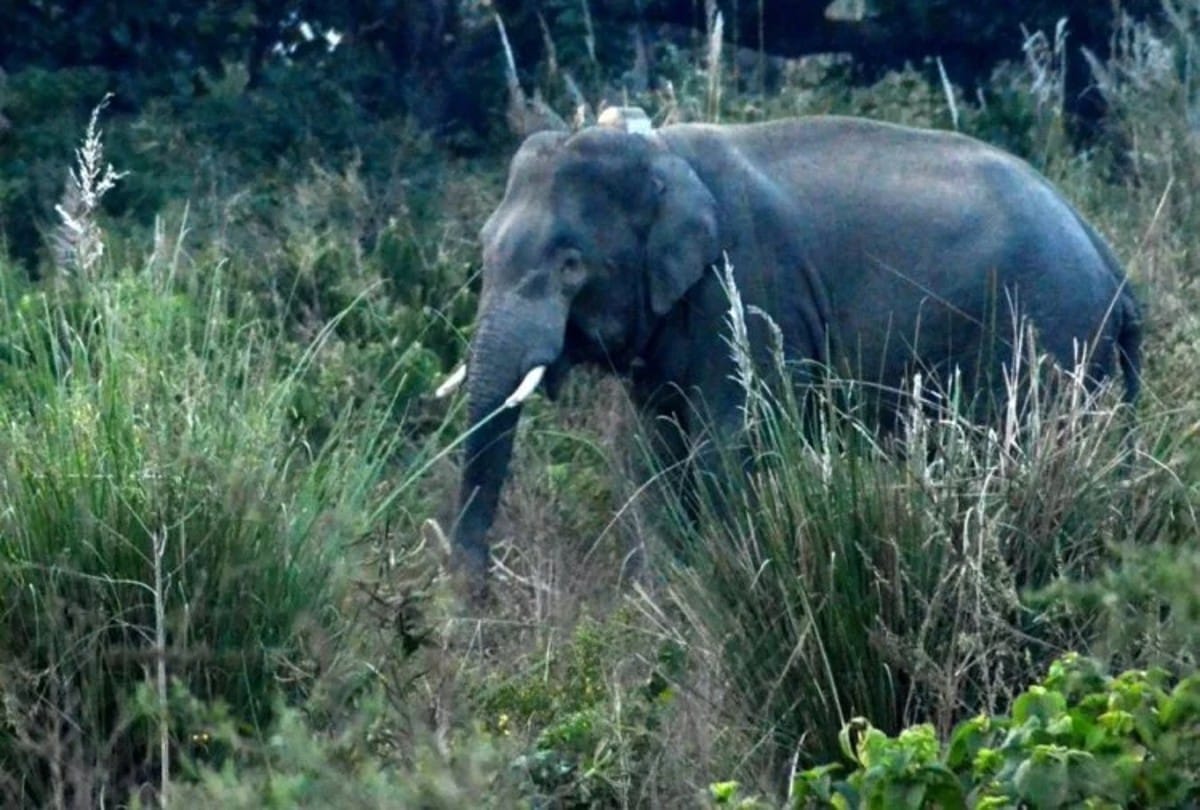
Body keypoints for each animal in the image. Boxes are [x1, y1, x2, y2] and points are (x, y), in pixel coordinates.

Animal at [442, 109, 1142, 586]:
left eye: (571, 265)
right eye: (484, 245)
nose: (476, 593)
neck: (661, 150)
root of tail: (1112, 263)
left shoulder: (748, 289)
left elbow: (730, 447)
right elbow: (653, 458)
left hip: (1048, 338)